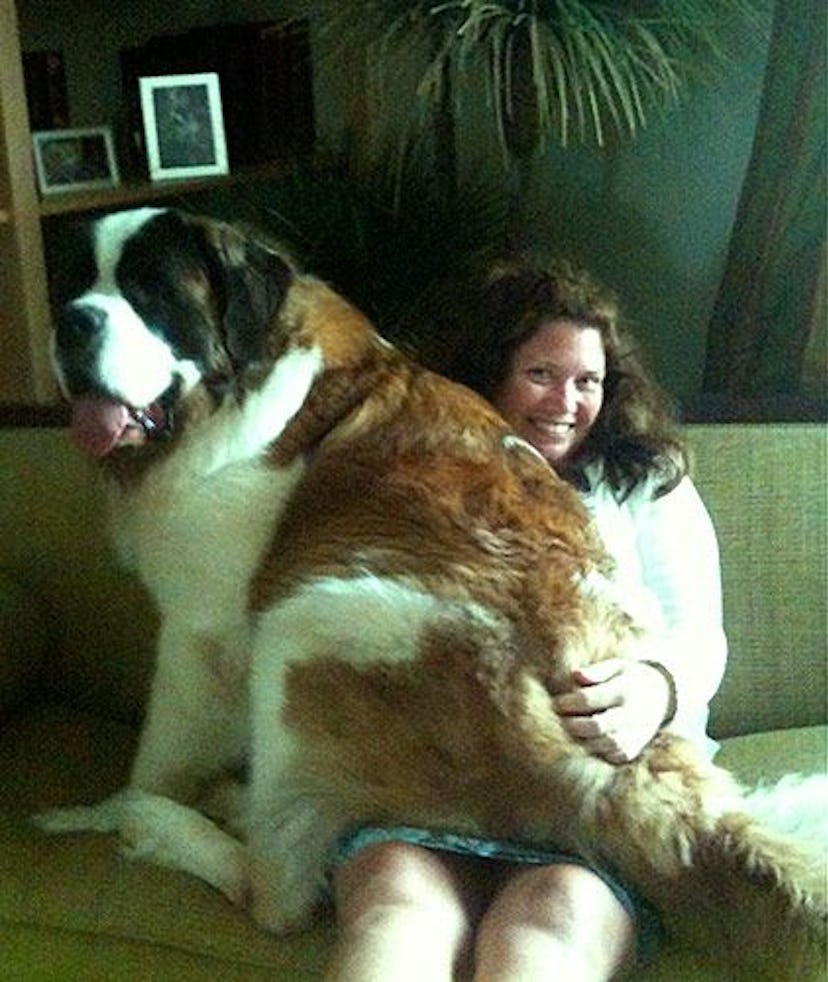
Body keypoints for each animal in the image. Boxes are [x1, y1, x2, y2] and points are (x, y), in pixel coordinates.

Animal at [40, 206, 828, 976]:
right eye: (73, 284)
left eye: (152, 294)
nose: (71, 322)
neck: (250, 380)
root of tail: (625, 774)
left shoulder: (202, 626)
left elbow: (160, 748)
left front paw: (132, 798)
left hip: (308, 622)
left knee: (279, 897)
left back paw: (161, 822)